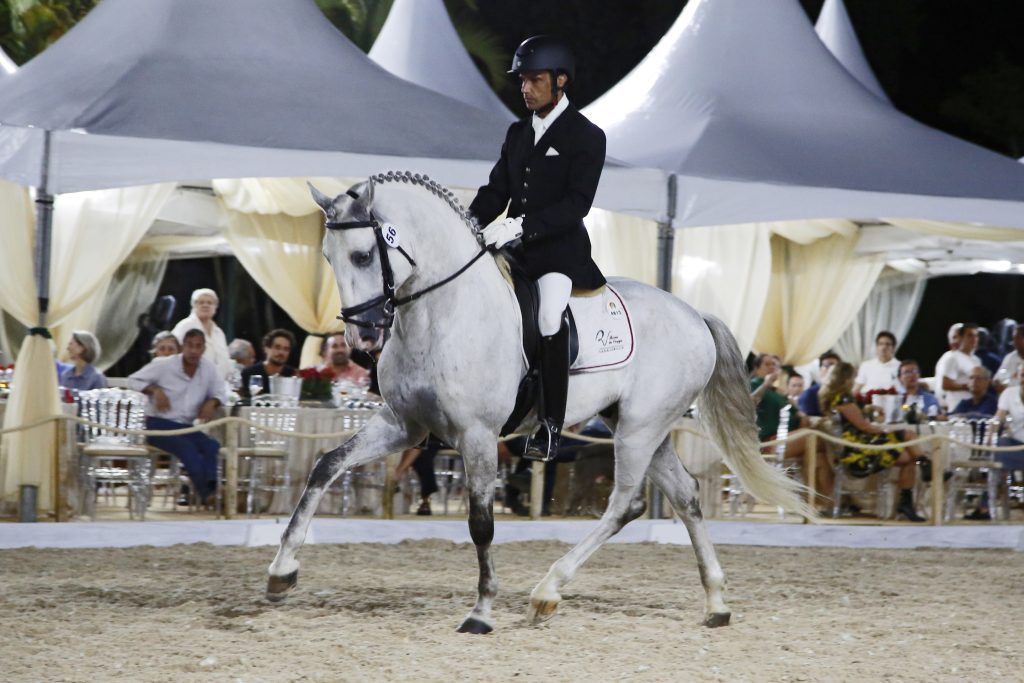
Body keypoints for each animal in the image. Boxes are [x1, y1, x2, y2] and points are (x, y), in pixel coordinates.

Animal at [268, 171, 811, 634]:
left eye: (363, 255)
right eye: (327, 256)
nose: (361, 338)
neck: (441, 312)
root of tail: (694, 314)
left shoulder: (477, 435)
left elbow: (481, 521)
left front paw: (481, 611)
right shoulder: (402, 425)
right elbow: (326, 465)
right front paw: (281, 571)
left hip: (640, 428)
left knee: (626, 503)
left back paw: (547, 592)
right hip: (641, 426)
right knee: (685, 496)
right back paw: (716, 603)